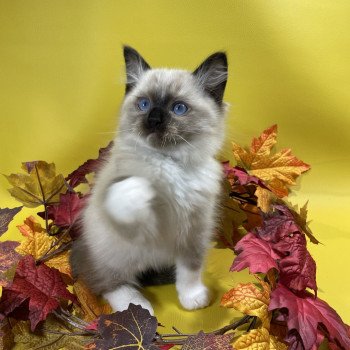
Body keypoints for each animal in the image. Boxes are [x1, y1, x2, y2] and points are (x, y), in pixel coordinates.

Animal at [71, 46, 230, 314]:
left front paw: (192, 298)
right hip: (116, 251)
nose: (154, 120)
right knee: (107, 281)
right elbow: (123, 195)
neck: (169, 162)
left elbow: (190, 270)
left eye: (178, 108)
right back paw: (136, 305)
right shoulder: (134, 223)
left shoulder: (195, 230)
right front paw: (142, 188)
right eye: (144, 104)